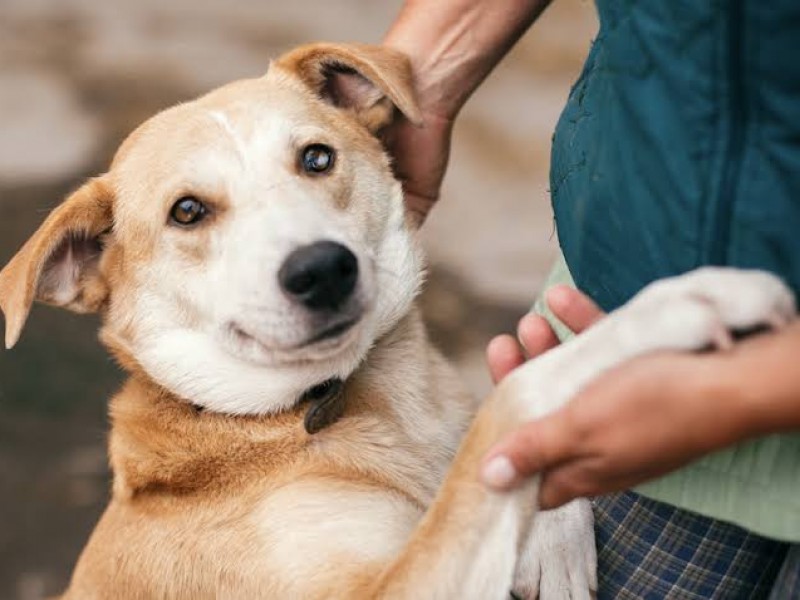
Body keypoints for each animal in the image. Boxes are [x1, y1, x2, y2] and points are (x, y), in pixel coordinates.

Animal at [0, 43, 796, 600]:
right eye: (187, 211)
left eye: (317, 157)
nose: (322, 269)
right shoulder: (390, 587)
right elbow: (511, 404)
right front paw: (674, 307)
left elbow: (487, 454)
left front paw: (550, 533)